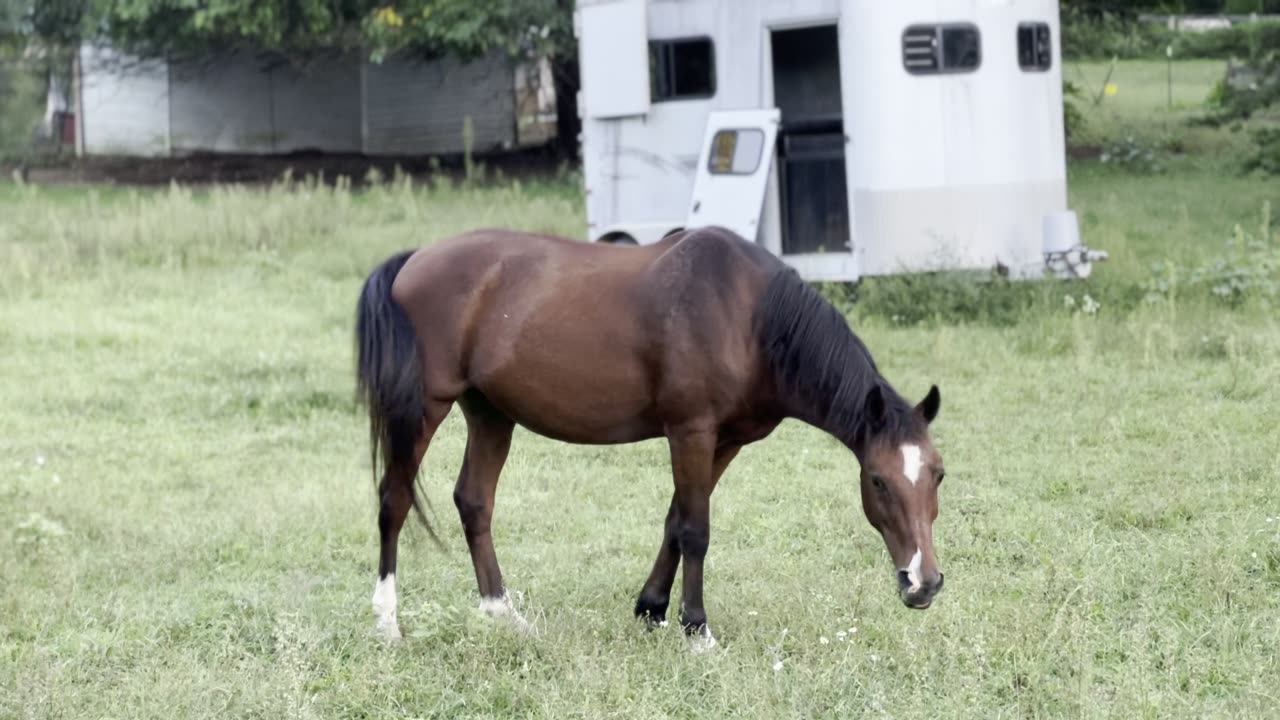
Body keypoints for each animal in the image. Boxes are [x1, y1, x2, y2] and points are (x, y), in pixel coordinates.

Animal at [354, 225, 947, 650]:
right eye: (878, 481)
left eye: (938, 475)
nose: (923, 583)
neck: (748, 316)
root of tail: (415, 258)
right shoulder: (691, 432)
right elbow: (696, 531)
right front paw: (697, 629)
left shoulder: (724, 440)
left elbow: (675, 521)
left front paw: (652, 609)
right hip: (425, 408)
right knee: (394, 500)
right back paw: (387, 624)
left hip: (492, 414)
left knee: (474, 502)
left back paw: (504, 614)